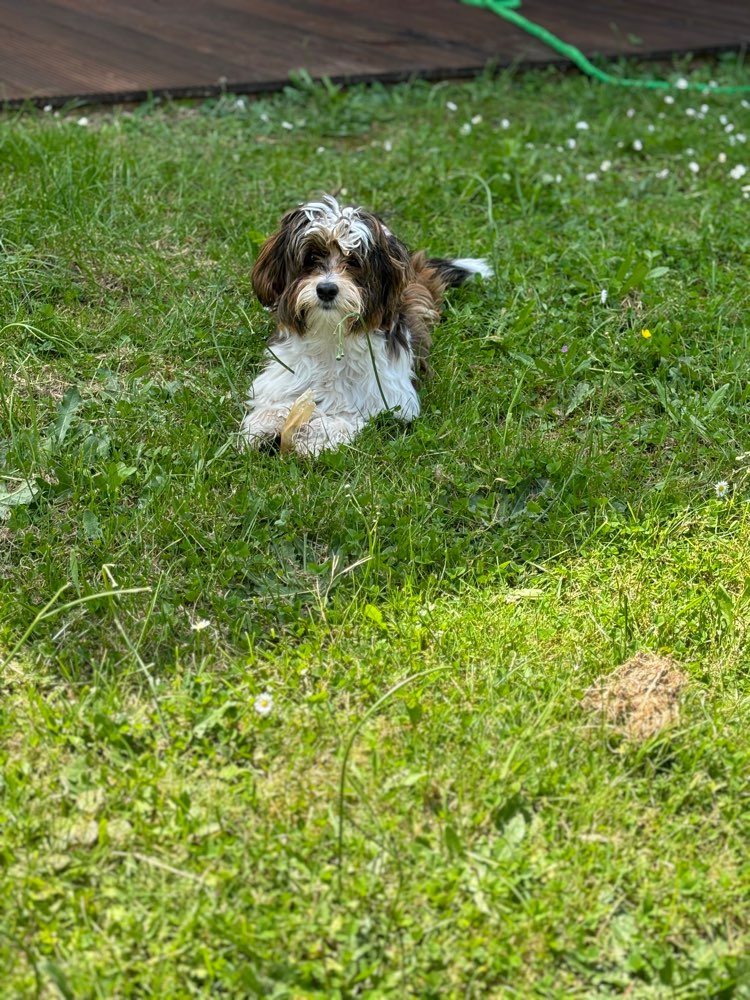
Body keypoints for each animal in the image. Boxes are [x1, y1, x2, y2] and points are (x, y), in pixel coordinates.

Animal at [242, 195, 494, 454]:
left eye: (354, 261)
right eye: (311, 258)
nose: (326, 289)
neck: (331, 331)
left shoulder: (388, 396)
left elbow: (347, 414)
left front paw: (317, 435)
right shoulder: (282, 374)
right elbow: (276, 399)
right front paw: (267, 421)